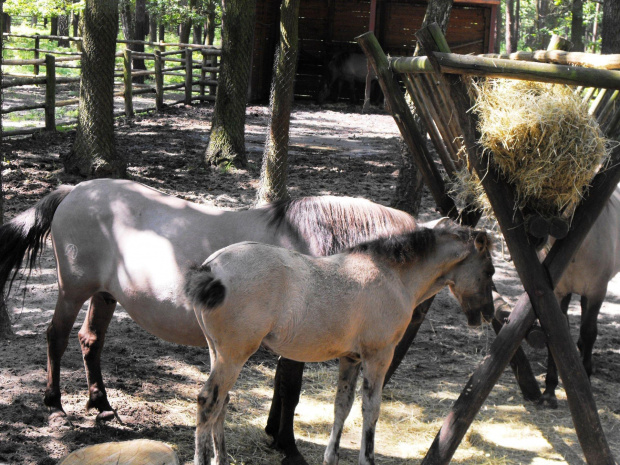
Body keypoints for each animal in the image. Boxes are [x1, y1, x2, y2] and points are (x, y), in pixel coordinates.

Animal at [1, 179, 416, 464]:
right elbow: (289, 389)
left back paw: (101, 404)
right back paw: (55, 406)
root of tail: (75, 190)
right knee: (56, 337)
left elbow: (282, 388)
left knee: (91, 341)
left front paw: (274, 435)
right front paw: (288, 446)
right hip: (72, 291)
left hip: (104, 295)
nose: (387, 364)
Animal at [184, 225, 494, 464]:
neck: (393, 276)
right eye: (490, 270)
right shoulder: (378, 356)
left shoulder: (351, 358)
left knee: (222, 403)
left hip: (218, 353)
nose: (488, 314)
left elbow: (341, 406)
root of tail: (211, 266)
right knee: (208, 401)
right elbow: (371, 409)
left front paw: (330, 457)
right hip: (234, 356)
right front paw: (367, 458)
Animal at [540, 184, 620, 406]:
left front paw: (586, 377)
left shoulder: (596, 292)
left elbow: (589, 331)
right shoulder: (557, 293)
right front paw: (549, 389)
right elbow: (557, 332)